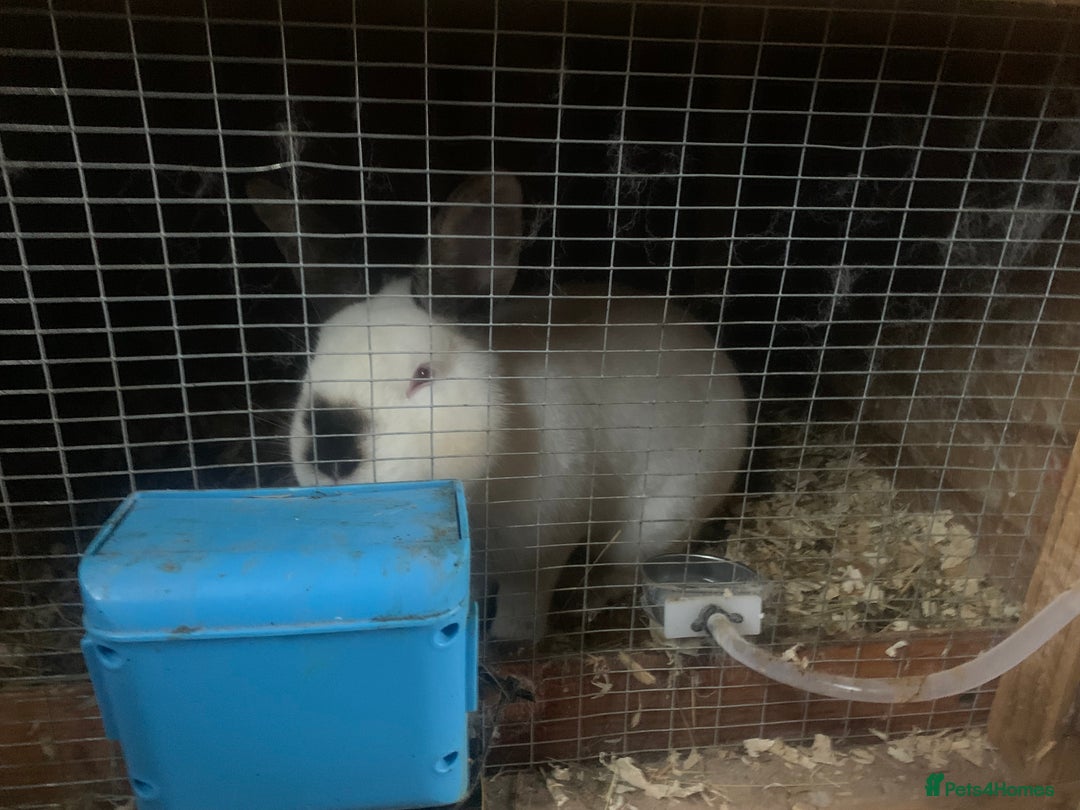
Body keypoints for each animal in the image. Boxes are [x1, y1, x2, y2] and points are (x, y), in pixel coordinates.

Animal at [254, 173, 748, 642]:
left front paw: (513, 641)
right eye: (312, 362)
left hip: (662, 515)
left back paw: (584, 602)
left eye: (422, 373)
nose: (332, 457)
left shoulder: (539, 552)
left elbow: (523, 604)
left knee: (624, 566)